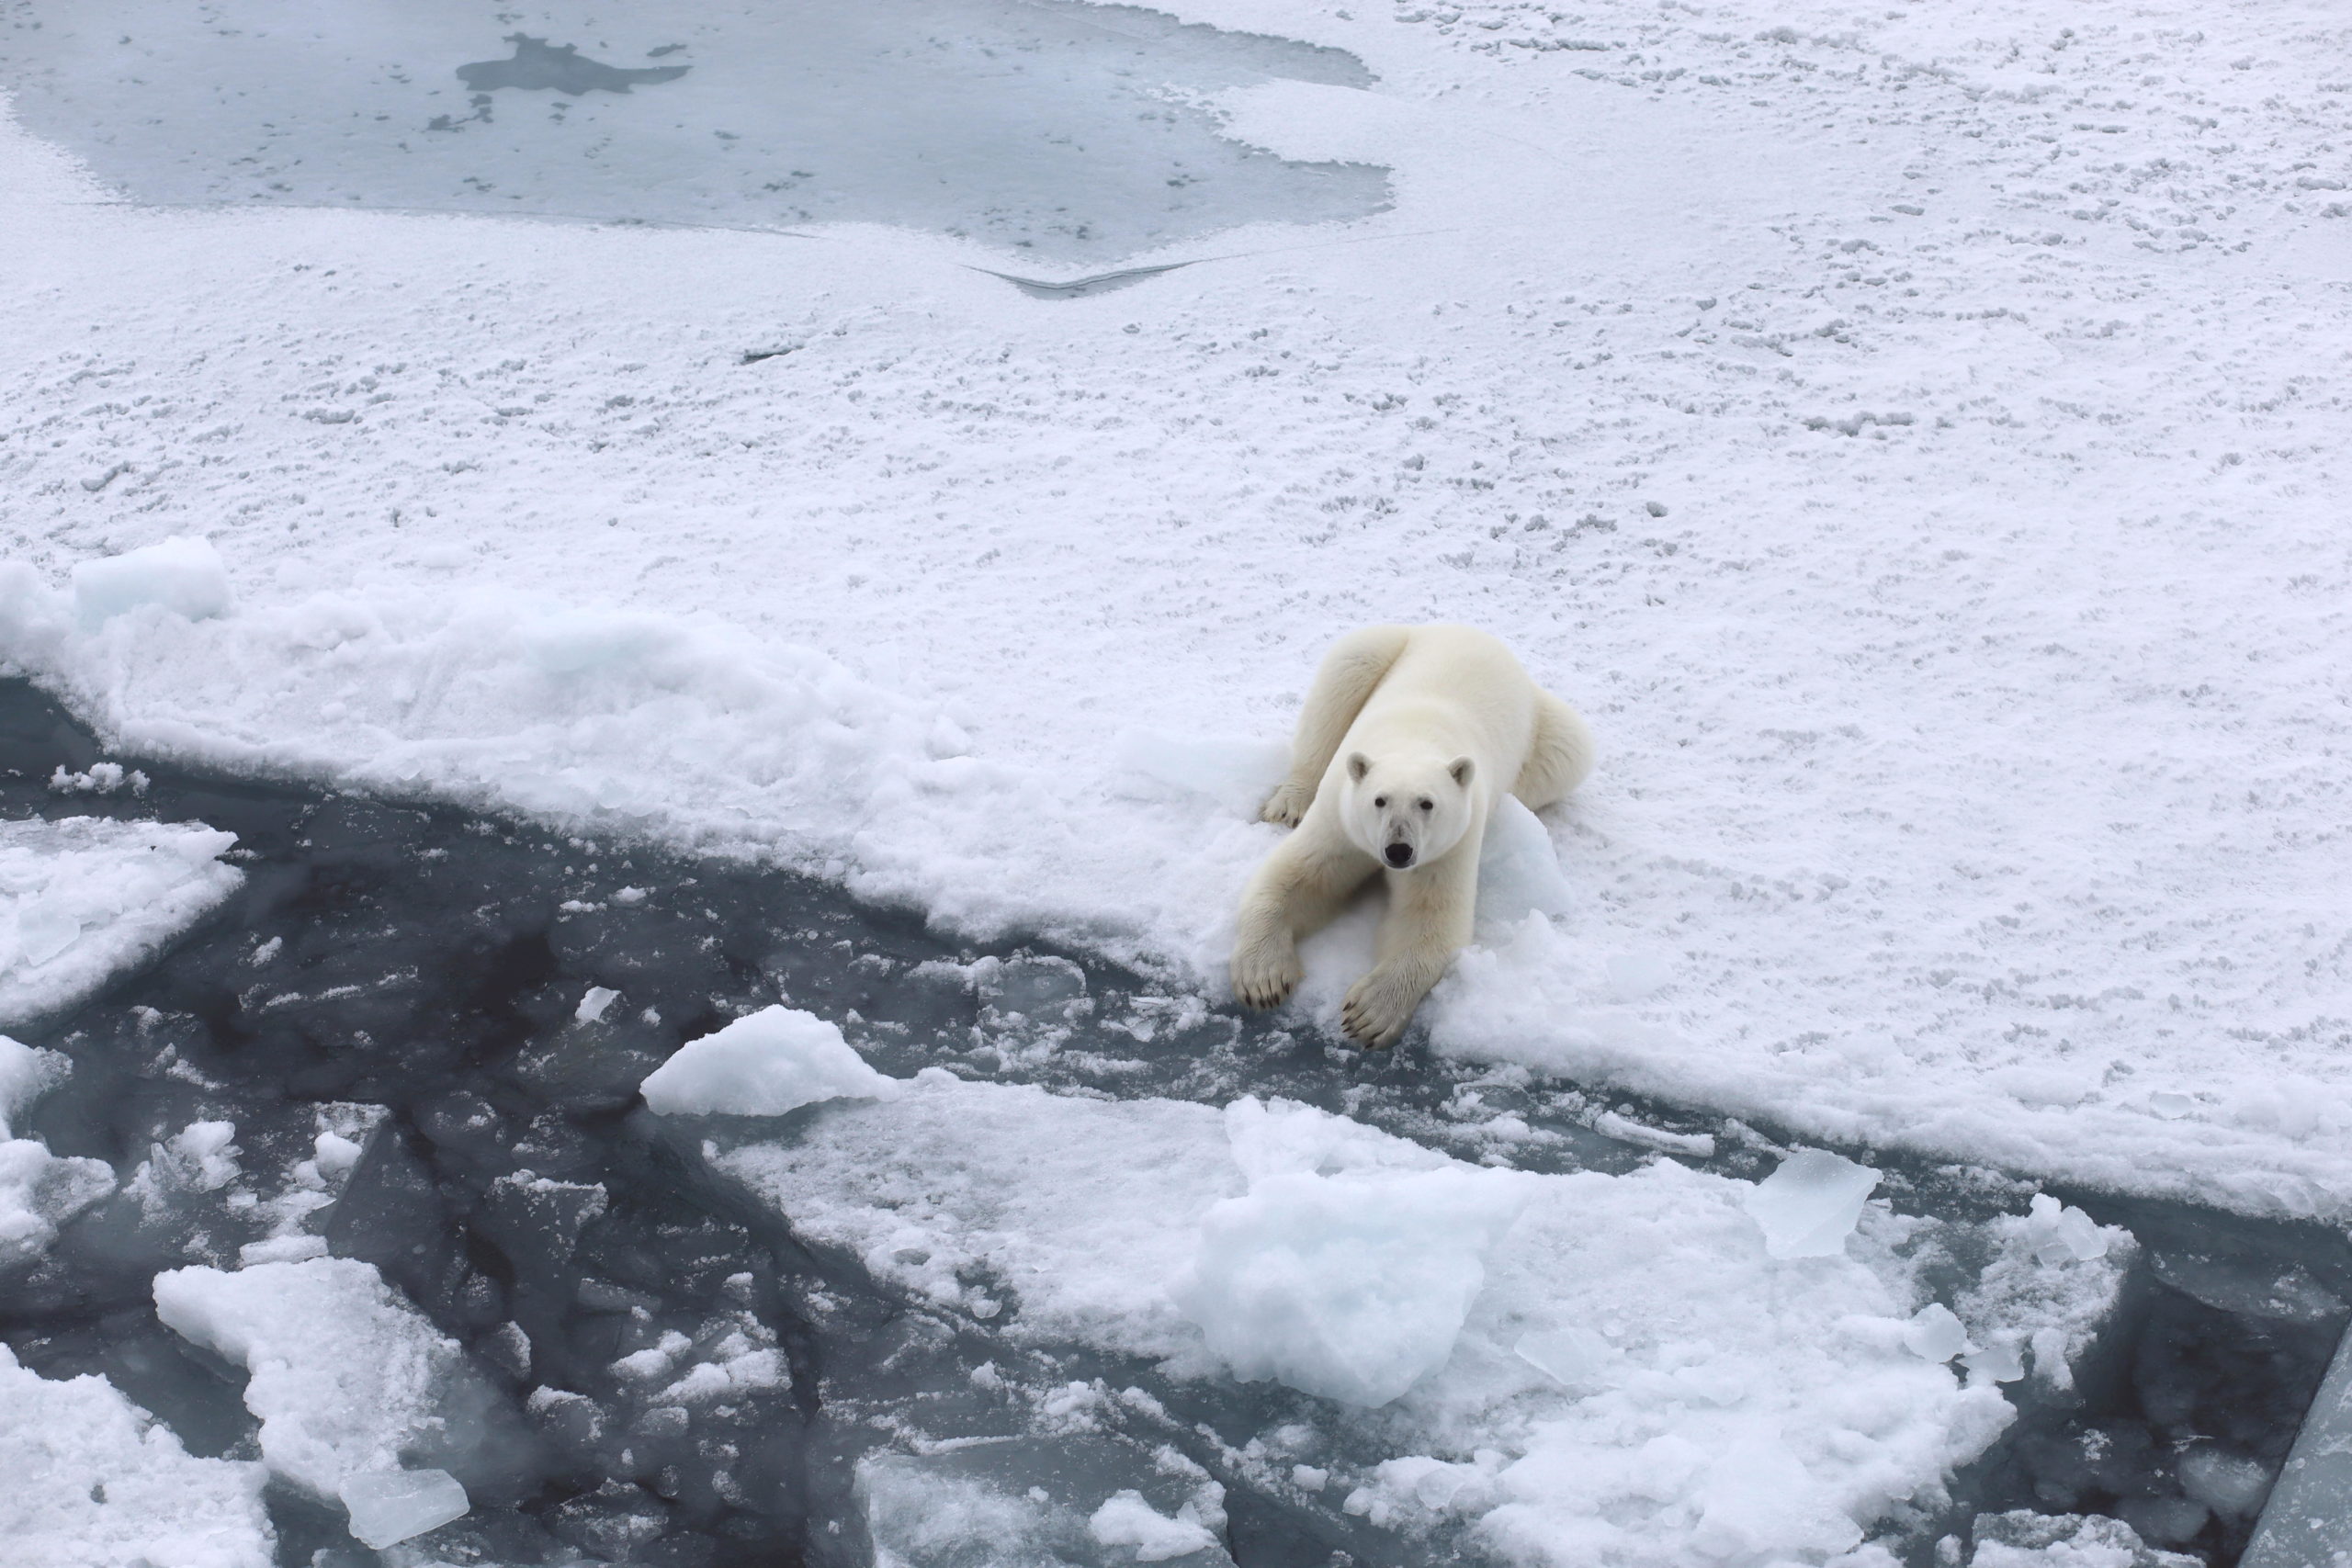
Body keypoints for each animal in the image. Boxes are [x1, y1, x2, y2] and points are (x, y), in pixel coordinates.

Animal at [1232, 620, 1599, 1043]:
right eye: (1379, 800)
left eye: (1427, 803)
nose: (1398, 851)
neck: (1413, 740)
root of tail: (1474, 632)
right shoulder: (1339, 819)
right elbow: (1298, 876)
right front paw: (1264, 981)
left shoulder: (1449, 845)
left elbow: (1431, 920)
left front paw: (1369, 1013)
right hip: (1385, 646)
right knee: (1339, 684)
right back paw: (1288, 804)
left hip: (1547, 736)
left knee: (1568, 750)